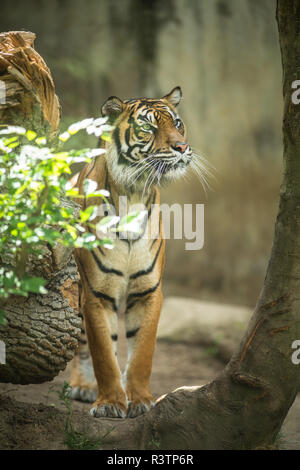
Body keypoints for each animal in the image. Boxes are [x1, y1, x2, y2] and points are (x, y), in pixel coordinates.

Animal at [69, 86, 203, 416]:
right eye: (149, 127)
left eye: (177, 123)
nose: (182, 147)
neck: (133, 193)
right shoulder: (95, 294)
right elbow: (104, 354)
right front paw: (110, 403)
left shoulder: (148, 292)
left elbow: (142, 352)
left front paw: (140, 400)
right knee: (81, 343)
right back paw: (84, 386)